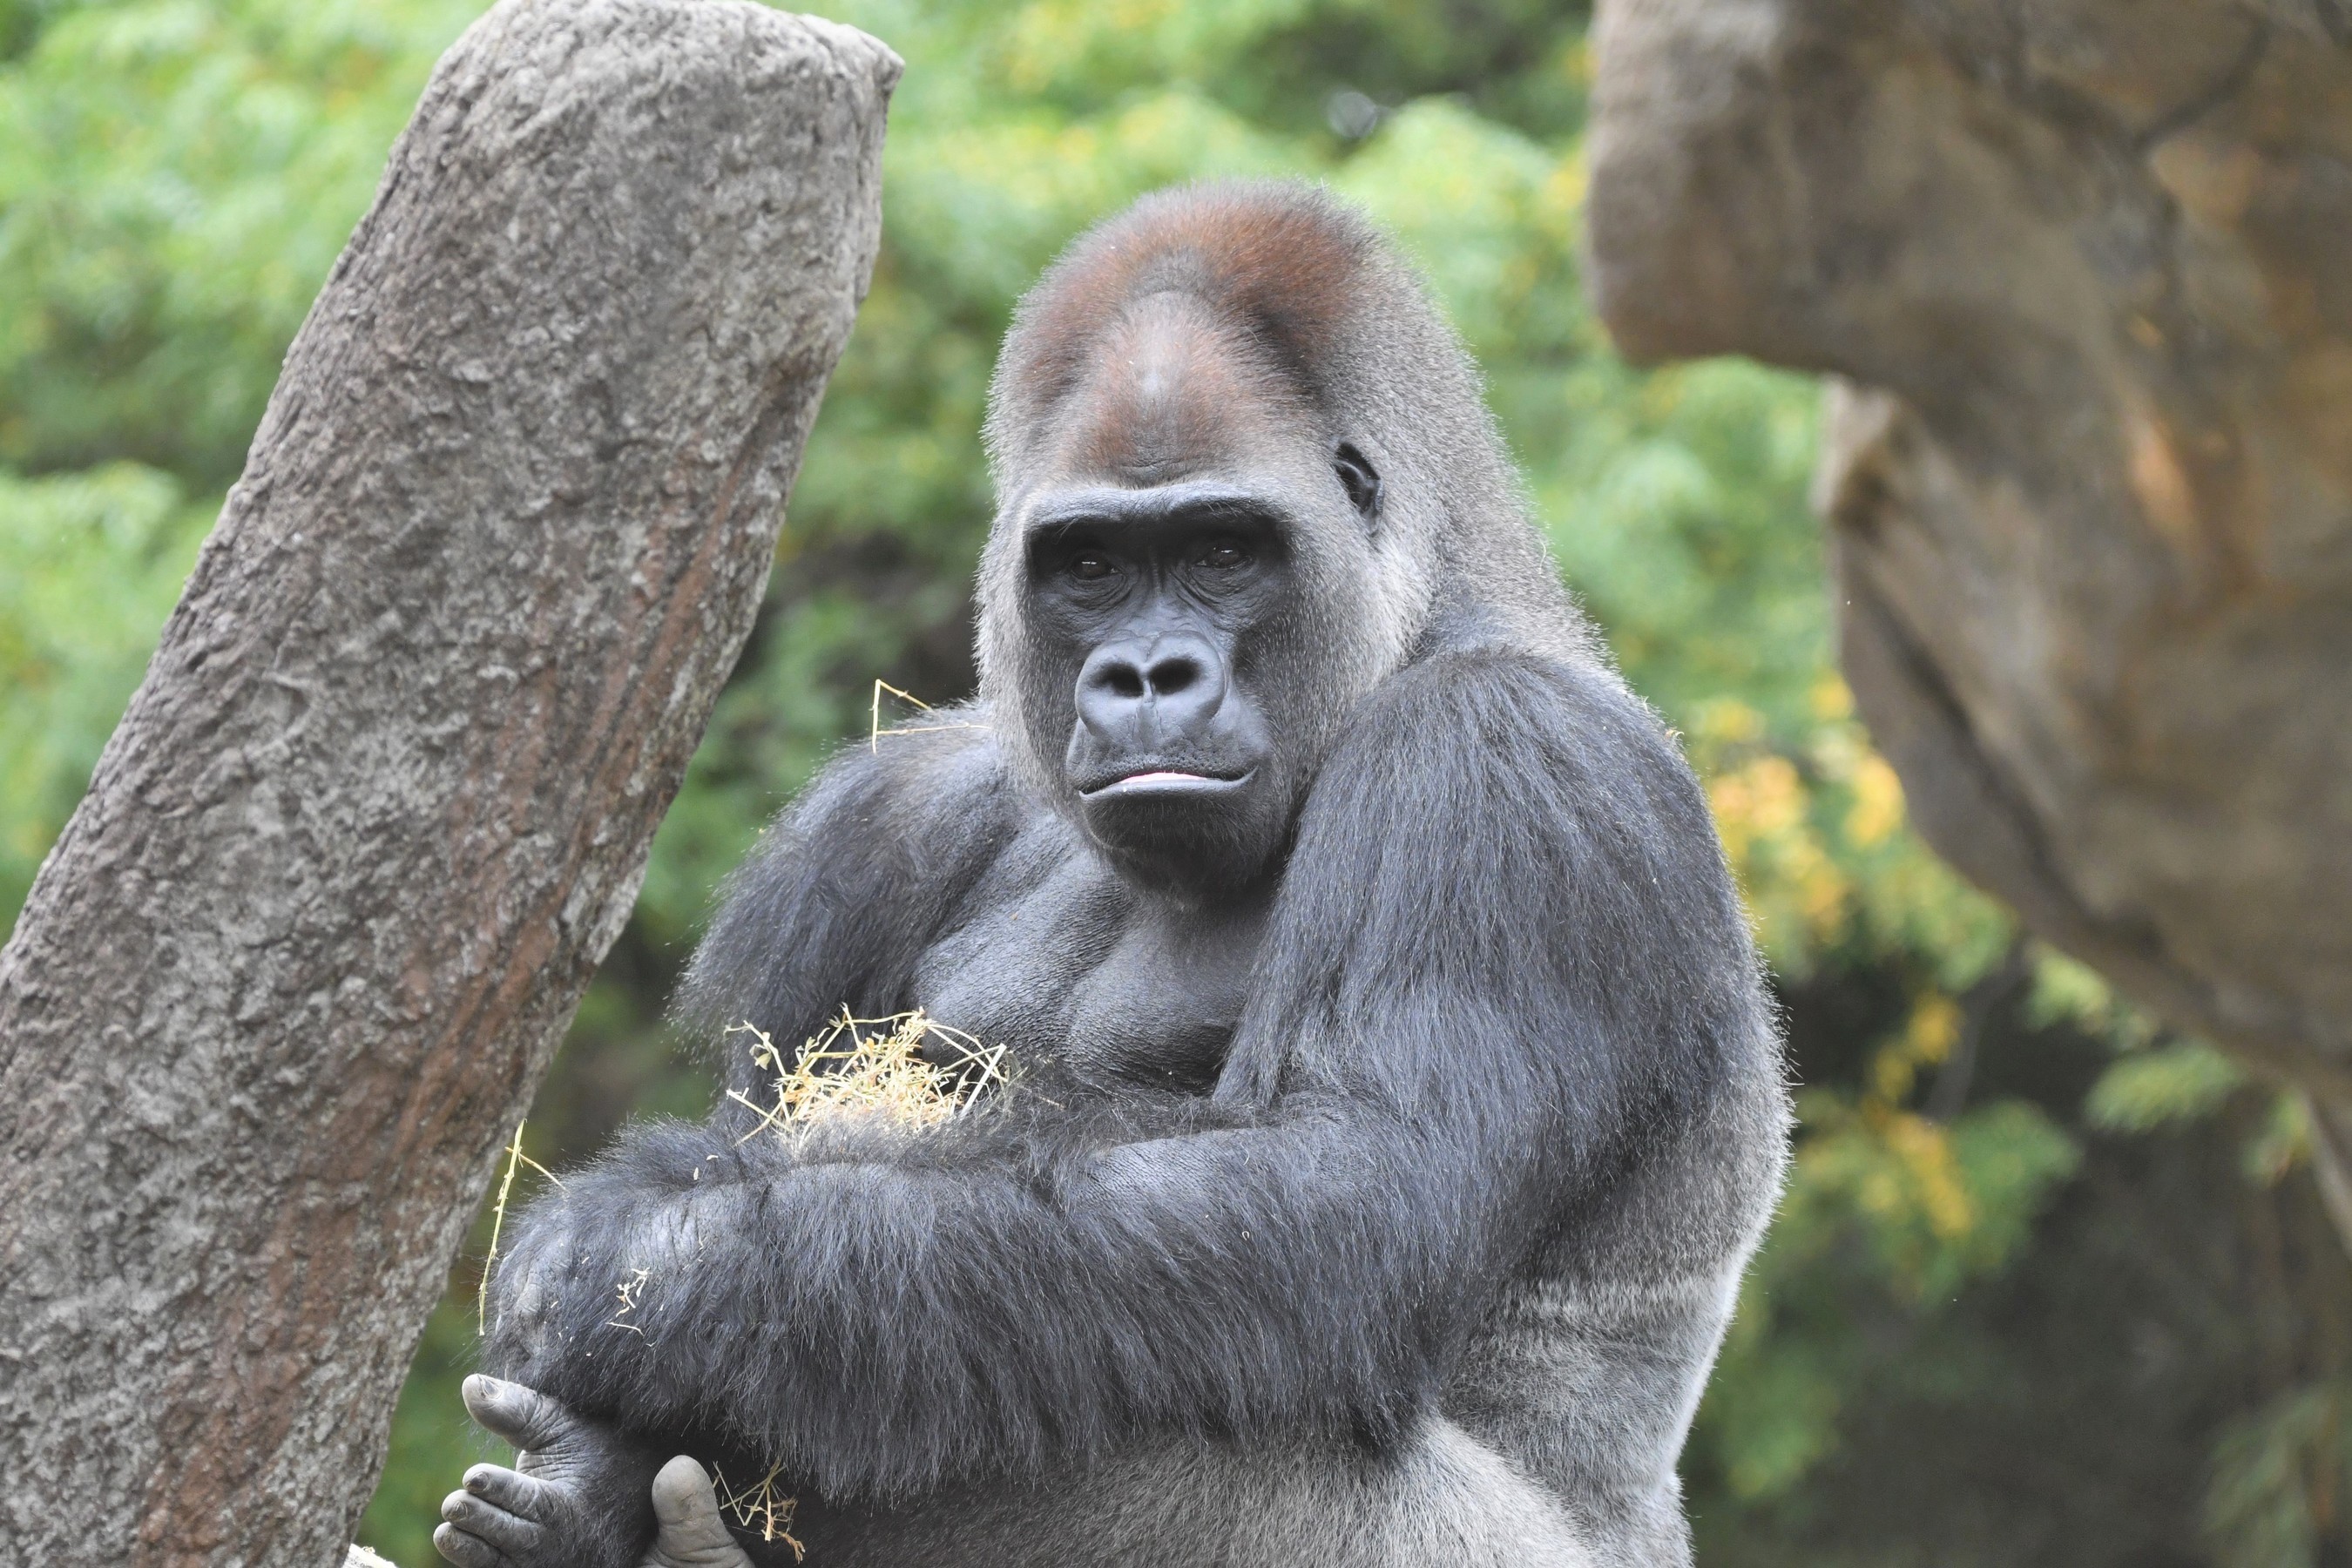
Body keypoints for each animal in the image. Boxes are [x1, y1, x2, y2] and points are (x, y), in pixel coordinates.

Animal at [437, 184, 1778, 1568]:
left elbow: (1343, 1196)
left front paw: (636, 1255)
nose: (1146, 676)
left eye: (1227, 551)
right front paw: (602, 1422)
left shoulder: (1507, 761)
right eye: (1092, 566)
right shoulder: (893, 815)